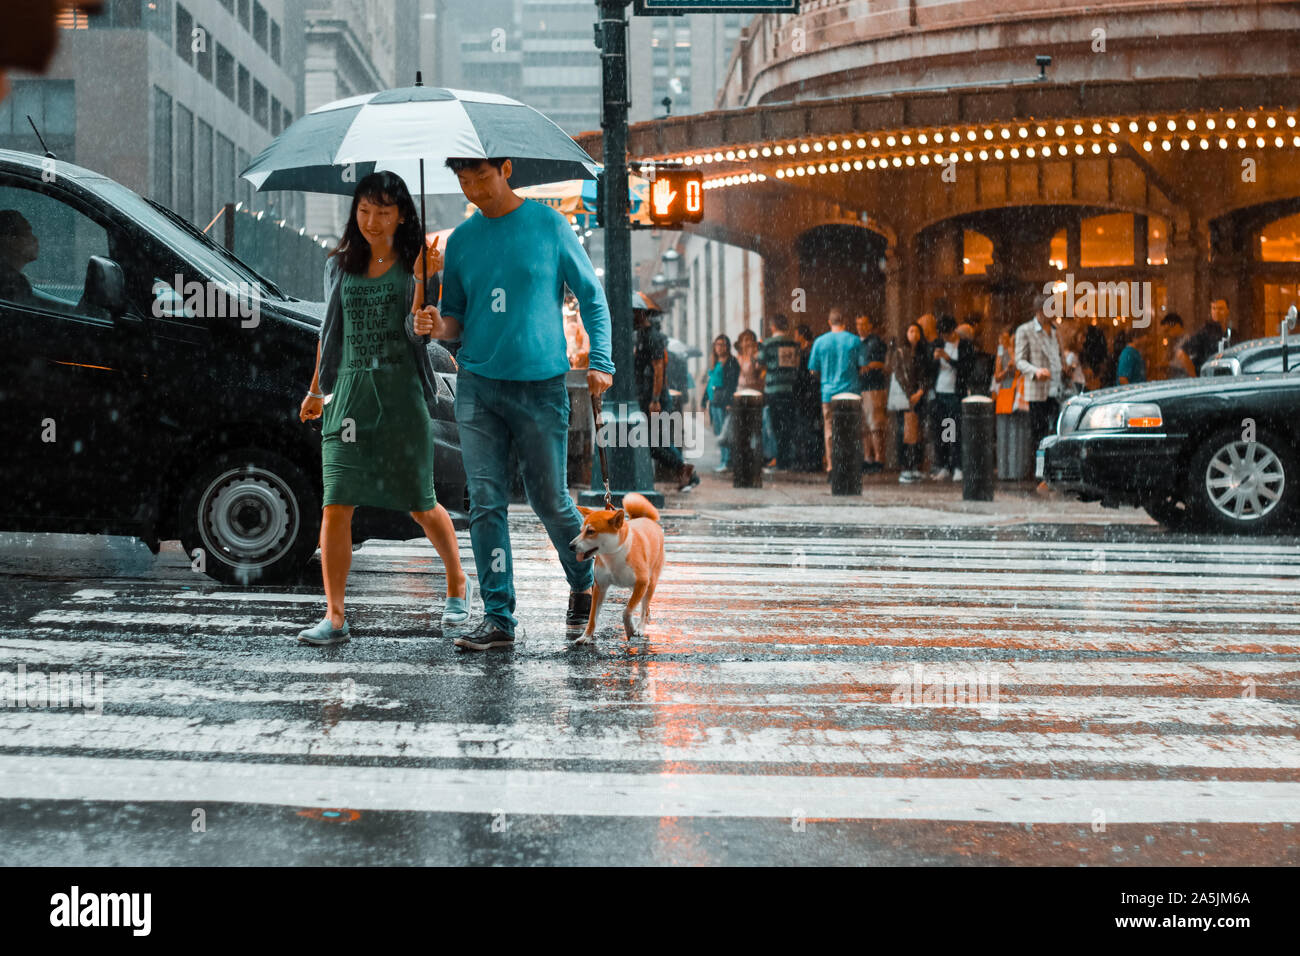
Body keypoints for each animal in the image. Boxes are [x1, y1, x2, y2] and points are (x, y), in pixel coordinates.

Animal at [569, 494, 665, 642]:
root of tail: (647, 519)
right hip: (635, 587)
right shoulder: (600, 587)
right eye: (580, 531)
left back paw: (641, 628)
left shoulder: (642, 582)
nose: (571, 546)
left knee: (644, 606)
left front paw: (630, 628)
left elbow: (627, 611)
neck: (613, 556)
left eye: (590, 531)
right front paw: (586, 636)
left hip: (649, 583)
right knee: (646, 606)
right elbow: (592, 617)